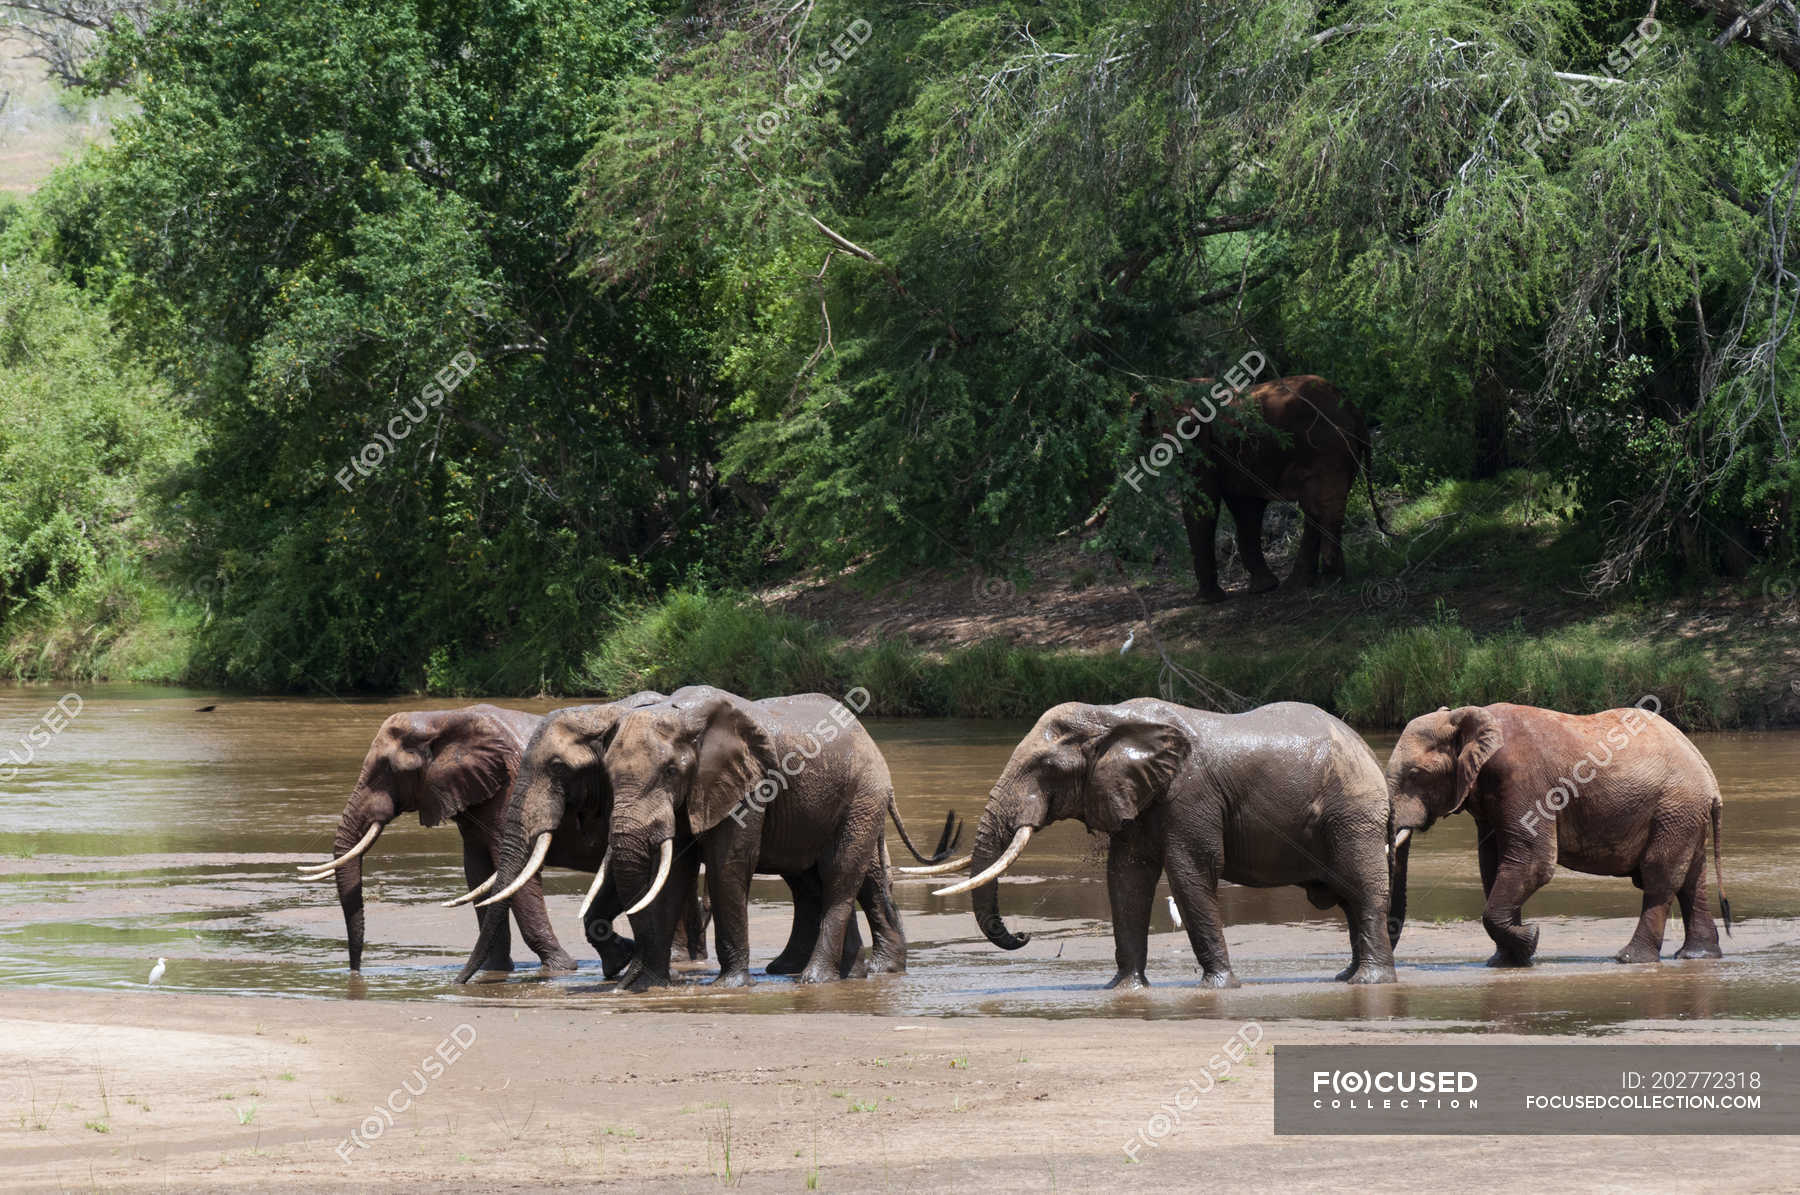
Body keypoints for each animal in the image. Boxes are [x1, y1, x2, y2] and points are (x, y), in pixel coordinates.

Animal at [1144, 370, 1382, 597]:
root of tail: (1353, 409)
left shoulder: (1200, 443)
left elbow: (1204, 505)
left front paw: (1207, 599)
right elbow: (1246, 508)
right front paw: (1264, 588)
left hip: (1327, 447)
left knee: (1321, 506)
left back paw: (1328, 581)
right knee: (1317, 507)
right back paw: (1304, 584)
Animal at [1375, 701, 1728, 964]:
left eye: (1415, 774)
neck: (1469, 717)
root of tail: (1710, 778)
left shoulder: (1524, 781)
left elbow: (1533, 863)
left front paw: (1530, 940)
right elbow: (1492, 864)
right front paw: (1508, 959)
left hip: (1676, 807)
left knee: (1660, 876)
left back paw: (1630, 958)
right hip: (1685, 814)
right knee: (1691, 879)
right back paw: (1697, 955)